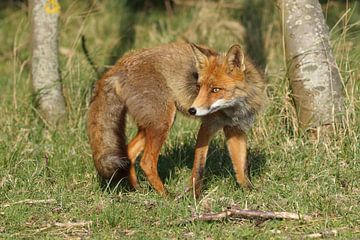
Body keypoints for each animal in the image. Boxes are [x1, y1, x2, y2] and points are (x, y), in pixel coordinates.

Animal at [87, 43, 264, 197]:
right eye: (198, 87)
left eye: (215, 90)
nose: (192, 110)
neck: (233, 109)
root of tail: (118, 65)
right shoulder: (207, 127)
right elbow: (199, 167)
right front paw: (195, 195)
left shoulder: (236, 129)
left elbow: (241, 166)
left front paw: (249, 191)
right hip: (163, 121)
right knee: (146, 162)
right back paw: (166, 196)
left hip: (150, 125)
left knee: (129, 152)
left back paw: (138, 189)